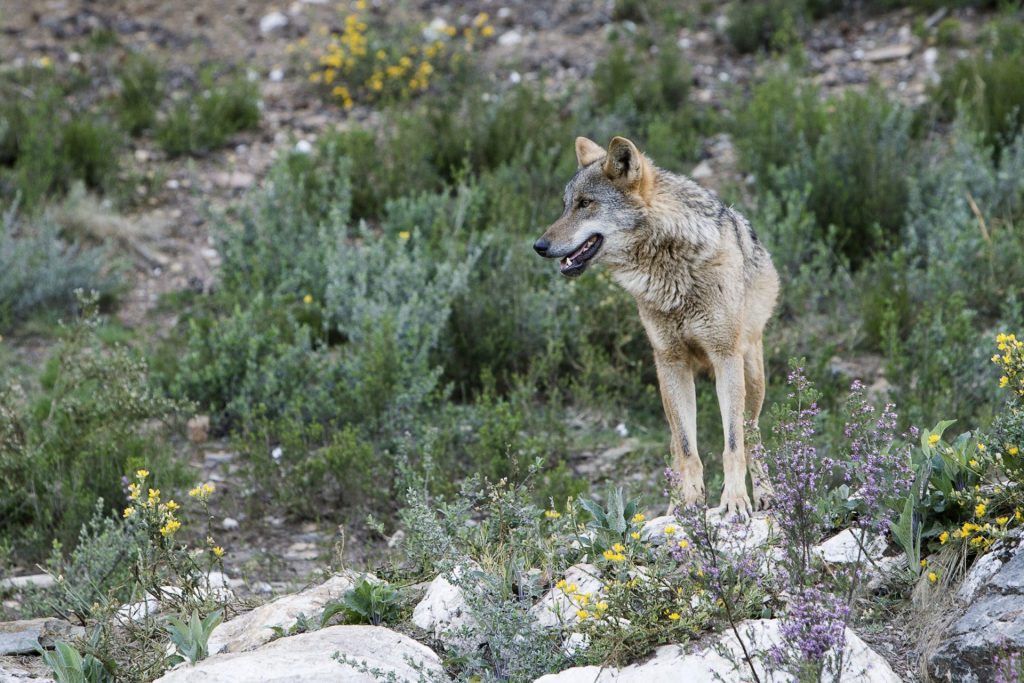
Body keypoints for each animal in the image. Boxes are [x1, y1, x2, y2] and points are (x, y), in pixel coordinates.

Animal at [534, 136, 779, 515]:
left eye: (585, 204)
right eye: (565, 206)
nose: (539, 246)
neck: (672, 268)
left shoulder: (725, 357)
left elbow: (732, 445)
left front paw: (735, 500)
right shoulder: (670, 361)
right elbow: (687, 448)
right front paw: (688, 504)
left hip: (751, 375)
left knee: (752, 435)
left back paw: (766, 495)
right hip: (667, 382)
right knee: (677, 446)